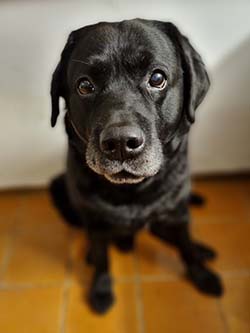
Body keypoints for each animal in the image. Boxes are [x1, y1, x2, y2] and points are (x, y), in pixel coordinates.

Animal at [48, 19, 223, 312]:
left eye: (157, 78)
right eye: (85, 86)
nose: (120, 143)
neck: (132, 191)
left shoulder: (177, 210)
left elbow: (185, 245)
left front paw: (202, 274)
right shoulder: (95, 222)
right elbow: (102, 258)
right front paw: (101, 289)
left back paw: (202, 250)